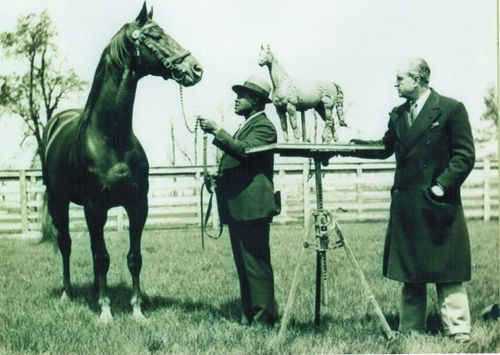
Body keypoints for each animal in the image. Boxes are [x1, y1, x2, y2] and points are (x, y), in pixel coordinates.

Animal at [41, 3, 201, 326]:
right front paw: (105, 311)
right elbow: (102, 257)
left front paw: (137, 310)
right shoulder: (94, 208)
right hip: (58, 202)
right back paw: (68, 293)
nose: (195, 68)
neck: (110, 137)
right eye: (155, 36)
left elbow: (133, 257)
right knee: (66, 244)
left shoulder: (138, 205)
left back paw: (92, 290)